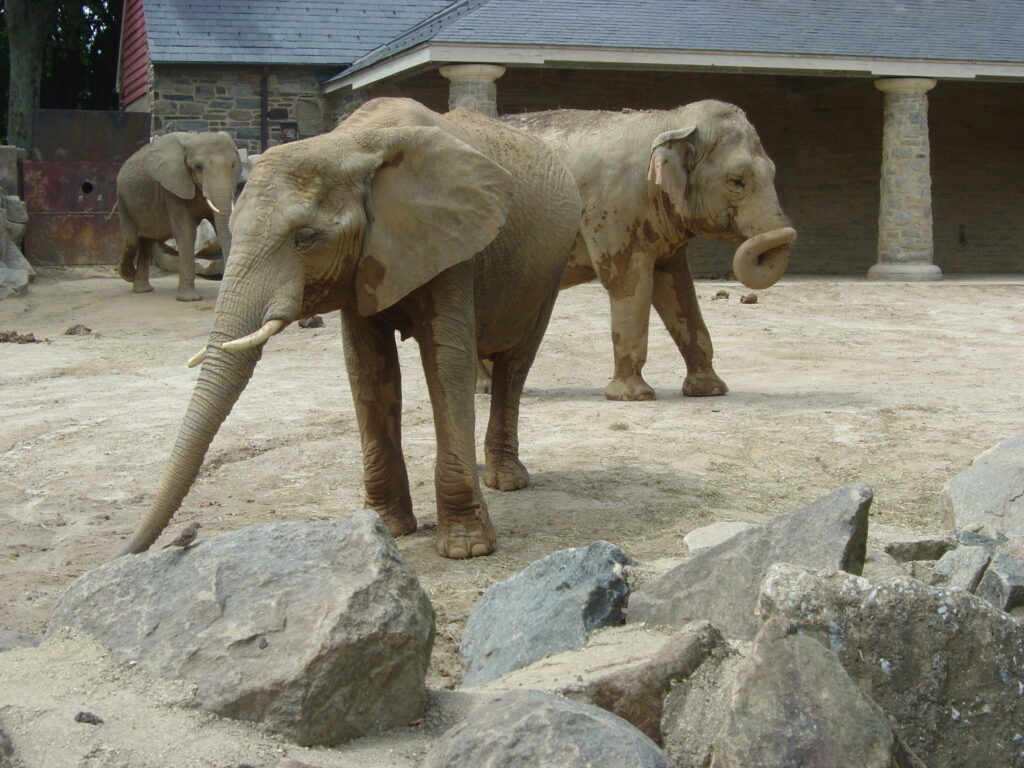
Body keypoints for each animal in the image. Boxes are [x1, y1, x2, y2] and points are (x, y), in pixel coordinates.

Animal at [117, 132, 240, 301]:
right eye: (198, 167)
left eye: (233, 165)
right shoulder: (172, 187)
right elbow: (186, 231)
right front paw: (189, 299)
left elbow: (220, 225)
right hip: (123, 201)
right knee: (132, 241)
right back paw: (127, 275)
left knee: (147, 242)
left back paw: (142, 289)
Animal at [501, 100, 790, 403]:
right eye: (737, 181)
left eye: (772, 172)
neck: (671, 121)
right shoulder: (613, 210)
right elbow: (627, 282)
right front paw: (633, 396)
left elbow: (677, 285)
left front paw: (709, 391)